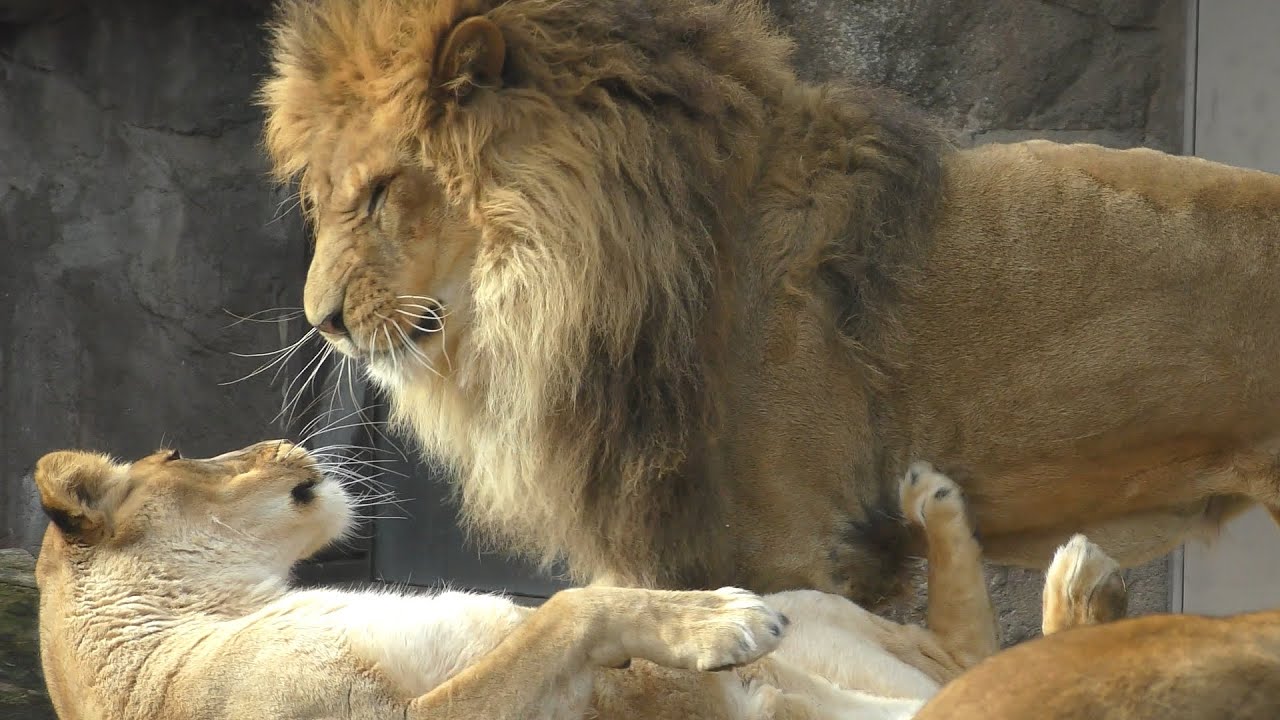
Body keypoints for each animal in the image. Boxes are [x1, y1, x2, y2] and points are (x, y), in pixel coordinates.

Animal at [31, 439, 1120, 719]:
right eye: (181, 454)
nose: (292, 444)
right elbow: (561, 609)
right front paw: (716, 622)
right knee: (972, 676)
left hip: (834, 620)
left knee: (958, 652)